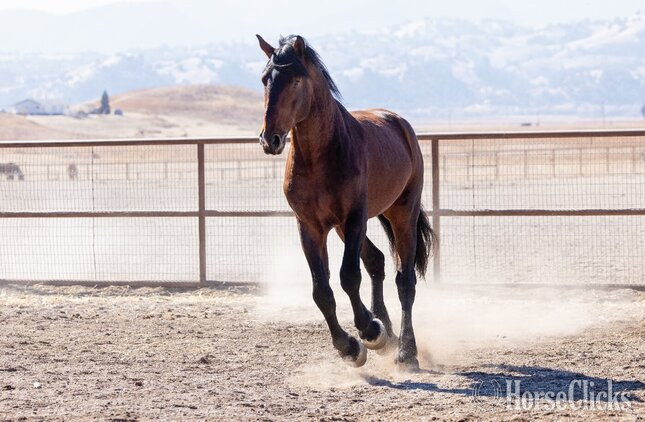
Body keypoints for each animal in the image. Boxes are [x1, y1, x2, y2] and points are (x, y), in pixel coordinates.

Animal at [256, 34, 434, 368]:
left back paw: (406, 351)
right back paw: (389, 334)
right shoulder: (310, 227)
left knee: (405, 280)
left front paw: (369, 331)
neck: (319, 158)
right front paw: (350, 346)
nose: (269, 139)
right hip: (345, 226)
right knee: (376, 261)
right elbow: (321, 290)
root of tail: (398, 122)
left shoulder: (353, 218)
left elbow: (348, 277)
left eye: (295, 80)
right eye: (264, 79)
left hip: (401, 213)